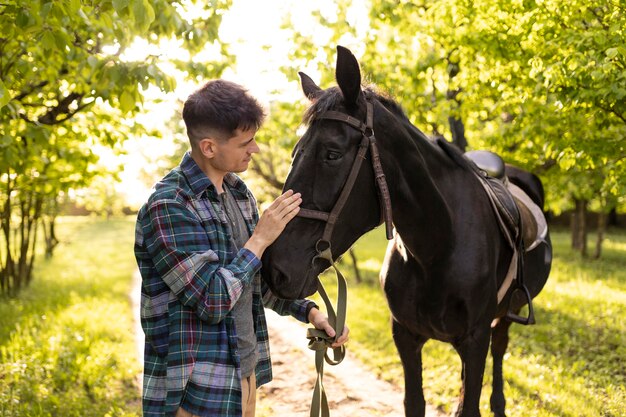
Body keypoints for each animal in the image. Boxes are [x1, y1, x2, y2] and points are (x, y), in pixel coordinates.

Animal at [260, 45, 548, 416]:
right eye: (295, 152)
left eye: (332, 154)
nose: (274, 268)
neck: (438, 247)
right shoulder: (406, 337)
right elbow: (417, 402)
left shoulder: (475, 339)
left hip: (504, 317)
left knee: (500, 348)